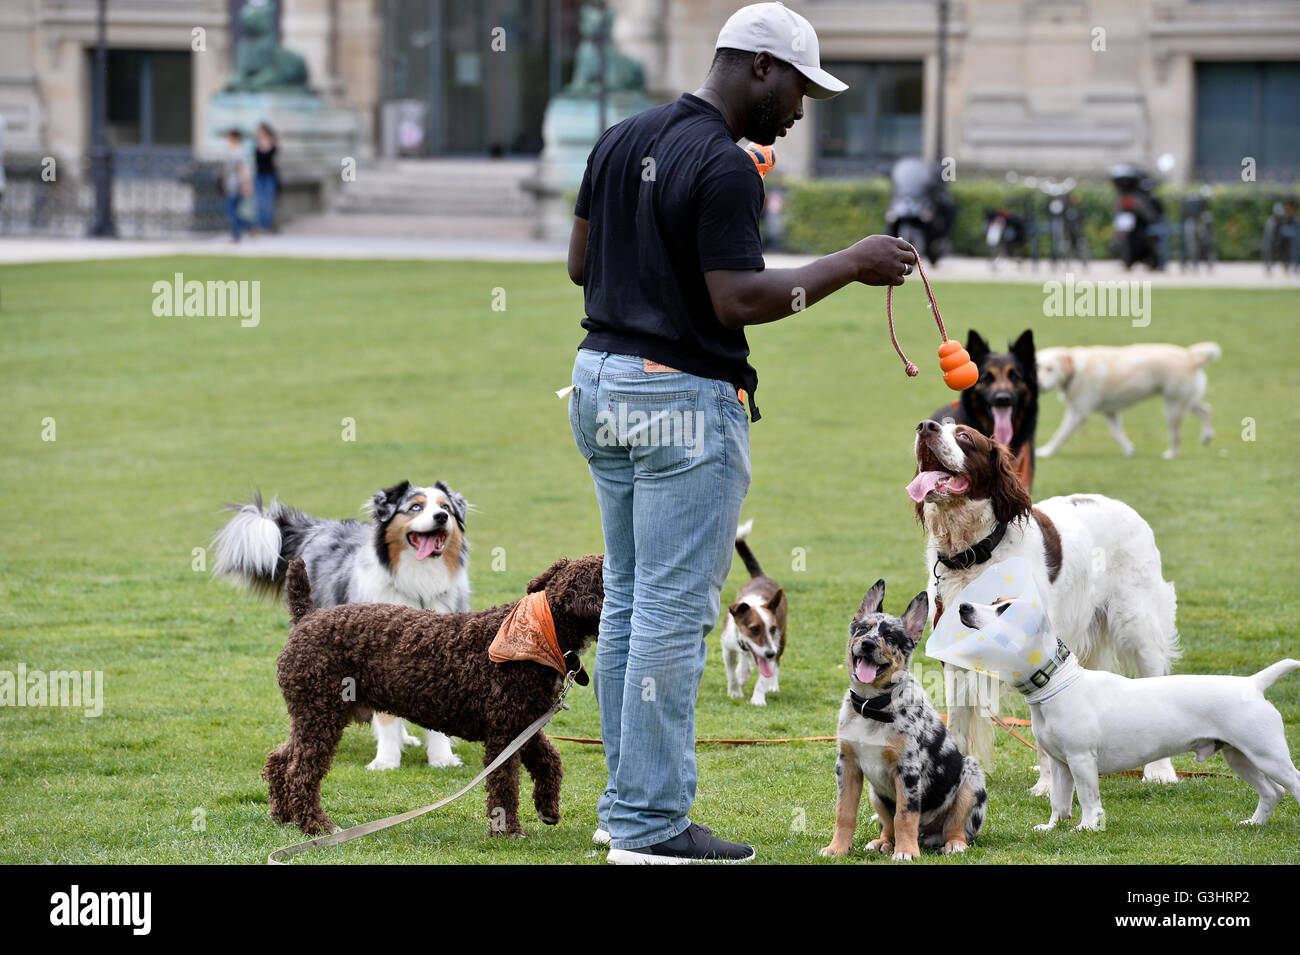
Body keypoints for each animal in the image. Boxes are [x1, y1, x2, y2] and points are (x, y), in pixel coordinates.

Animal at [267, 553, 608, 836]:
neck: (542, 630)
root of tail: (307, 616)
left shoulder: (524, 724)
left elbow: (549, 759)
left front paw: (547, 807)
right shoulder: (503, 732)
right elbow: (505, 785)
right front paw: (508, 830)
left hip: (313, 714)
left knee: (280, 758)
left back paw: (283, 815)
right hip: (319, 714)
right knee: (301, 772)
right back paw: (315, 824)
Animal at [717, 519, 785, 706]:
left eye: (773, 629)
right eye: (754, 629)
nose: (770, 653)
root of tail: (760, 576)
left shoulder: (773, 644)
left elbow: (763, 677)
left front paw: (758, 699)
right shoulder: (727, 648)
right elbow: (731, 674)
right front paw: (735, 691)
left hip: (782, 640)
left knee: (776, 663)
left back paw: (772, 684)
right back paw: (743, 670)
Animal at [909, 420, 1185, 789]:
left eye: (965, 436)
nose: (926, 427)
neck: (974, 553)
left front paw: (1048, 785)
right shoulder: (954, 657)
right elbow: (956, 725)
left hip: (1137, 621)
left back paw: (1160, 771)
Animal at [1034, 343, 1216, 462]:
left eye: (1050, 368)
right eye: (1036, 368)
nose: (1039, 385)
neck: (1076, 370)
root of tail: (1190, 356)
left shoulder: (1078, 413)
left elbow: (1060, 434)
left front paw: (1045, 452)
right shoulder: (1110, 412)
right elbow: (1118, 434)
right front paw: (1129, 450)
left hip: (1173, 405)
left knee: (1177, 433)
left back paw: (1171, 454)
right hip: (1186, 400)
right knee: (1206, 409)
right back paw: (1206, 437)